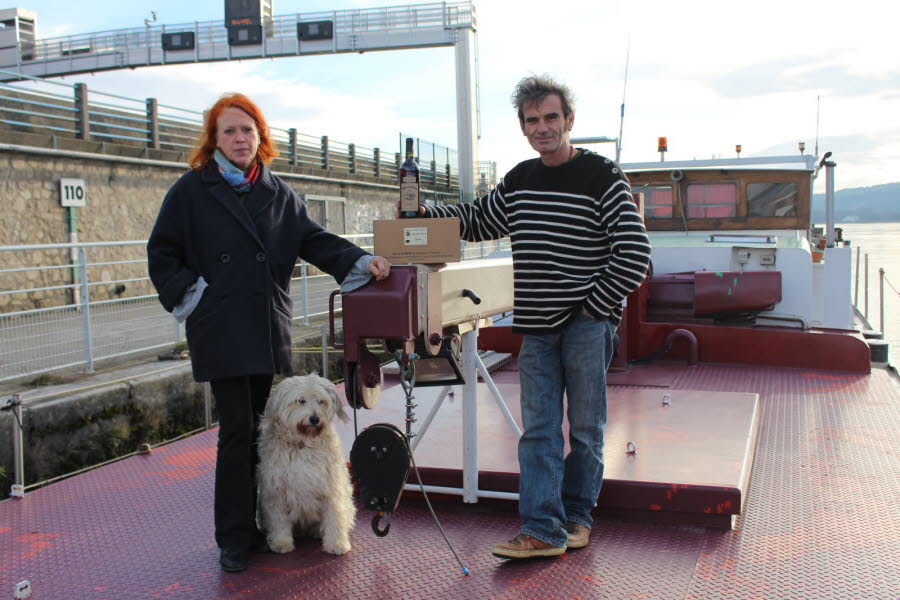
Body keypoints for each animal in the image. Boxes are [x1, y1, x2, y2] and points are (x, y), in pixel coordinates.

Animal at [256, 376, 356, 552]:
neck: (303, 444)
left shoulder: (332, 486)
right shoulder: (276, 491)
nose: (315, 419)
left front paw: (336, 543)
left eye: (321, 401)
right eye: (300, 401)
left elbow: (335, 515)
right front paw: (281, 543)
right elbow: (278, 520)